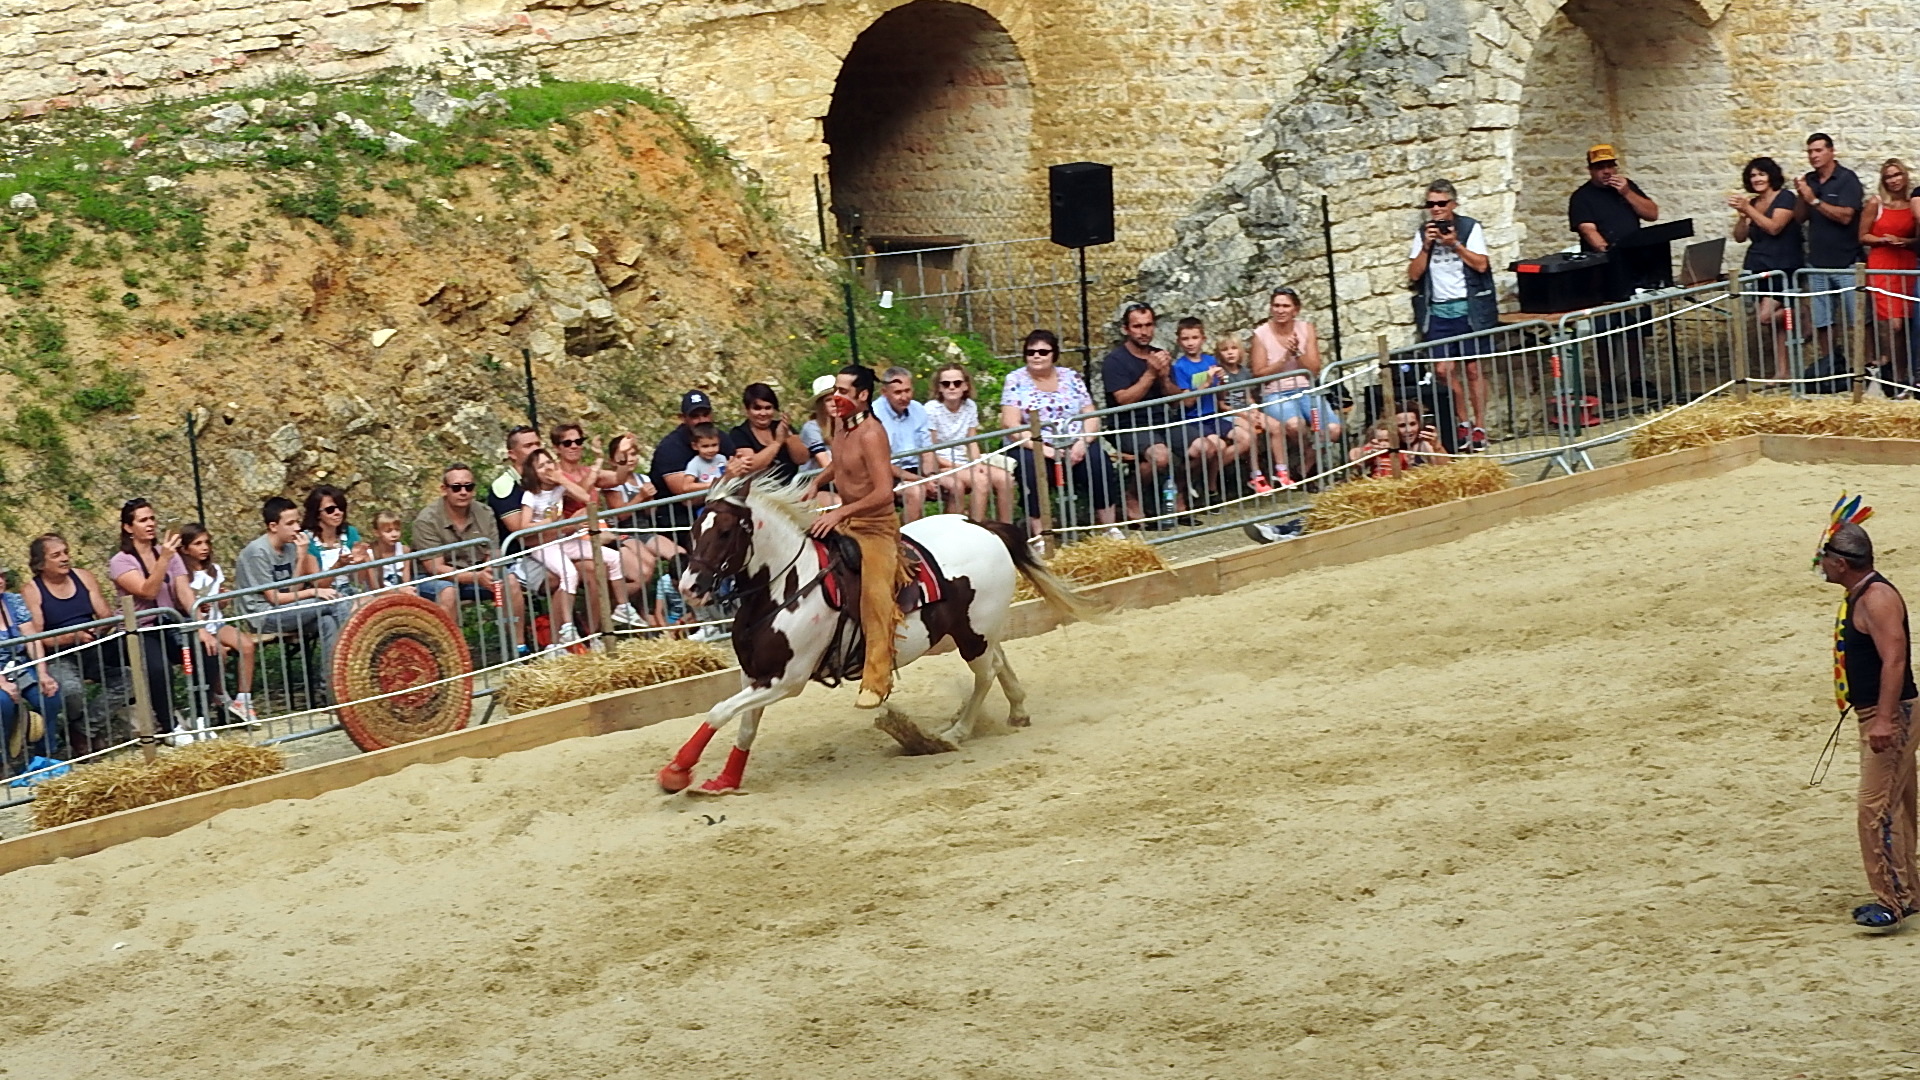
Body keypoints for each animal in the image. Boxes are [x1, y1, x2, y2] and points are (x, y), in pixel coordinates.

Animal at [657, 472, 1104, 794]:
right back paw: (1017, 711)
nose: (690, 586)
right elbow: (744, 725)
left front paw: (677, 770)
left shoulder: (788, 680)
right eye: (693, 530)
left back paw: (955, 733)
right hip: (977, 628)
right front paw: (724, 781)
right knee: (999, 660)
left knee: (986, 673)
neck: (785, 586)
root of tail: (981, 524)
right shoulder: (756, 674)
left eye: (725, 532)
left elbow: (718, 712)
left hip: (972, 634)